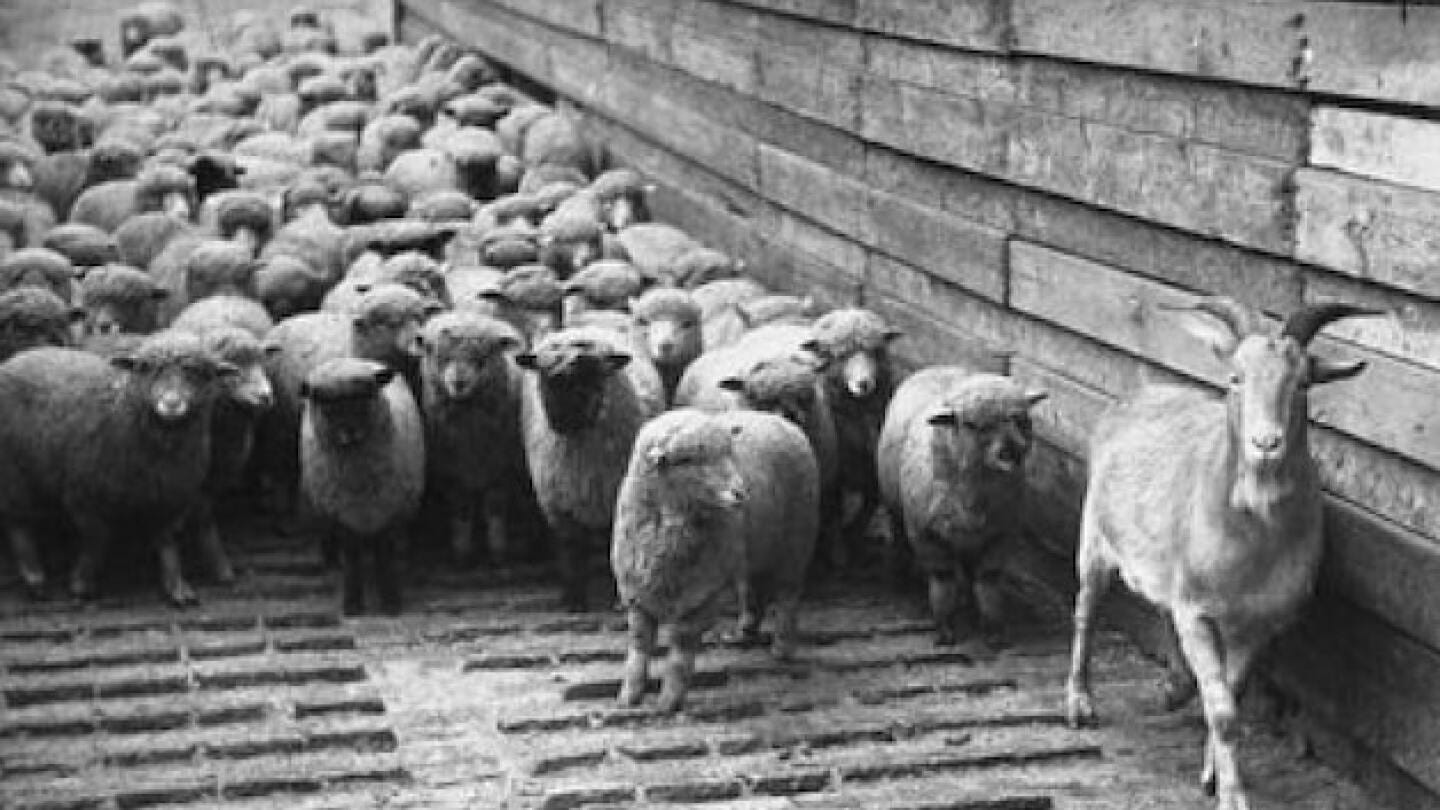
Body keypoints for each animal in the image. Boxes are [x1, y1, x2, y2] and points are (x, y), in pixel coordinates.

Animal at [1062, 298, 1378, 810]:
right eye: (1234, 377)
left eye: (1303, 382)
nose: (1266, 444)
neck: (1254, 538)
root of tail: (1134, 398)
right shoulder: (1199, 612)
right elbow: (1224, 711)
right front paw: (1231, 794)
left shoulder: (1257, 624)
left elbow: (1231, 698)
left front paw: (1212, 772)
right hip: (1094, 539)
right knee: (1085, 612)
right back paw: (1079, 703)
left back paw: (1173, 688)